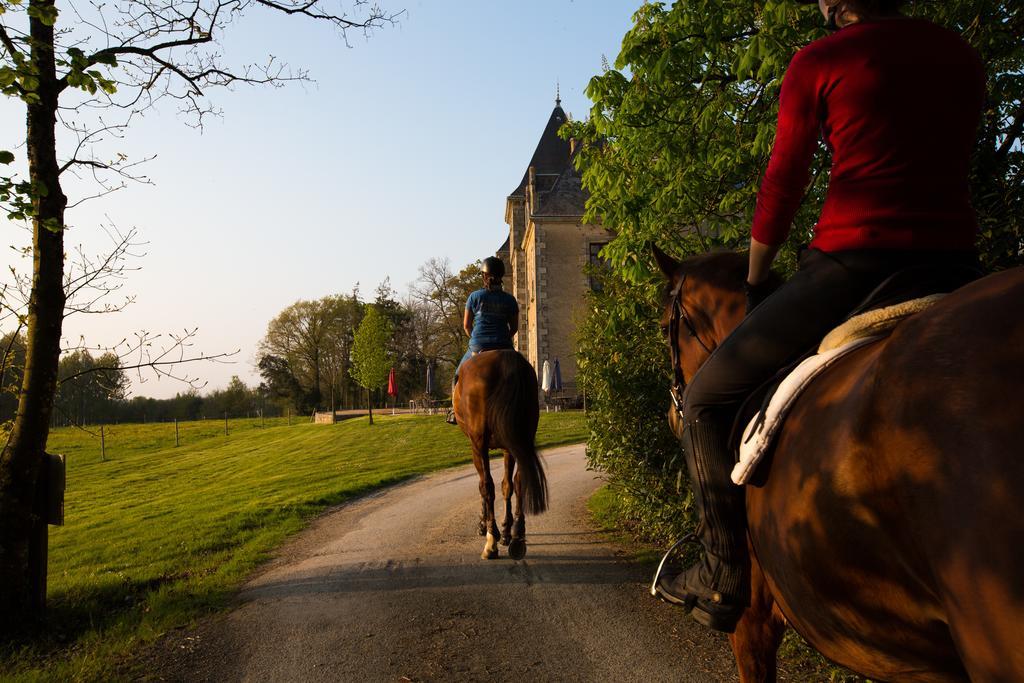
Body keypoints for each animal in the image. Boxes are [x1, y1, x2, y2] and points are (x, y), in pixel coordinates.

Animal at [454, 350, 548, 557]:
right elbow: (507, 485)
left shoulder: (476, 446)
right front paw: (506, 530)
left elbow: (484, 485)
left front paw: (485, 525)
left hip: (480, 441)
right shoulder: (508, 447)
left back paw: (492, 540)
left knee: (488, 485)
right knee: (519, 480)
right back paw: (517, 534)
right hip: (521, 437)